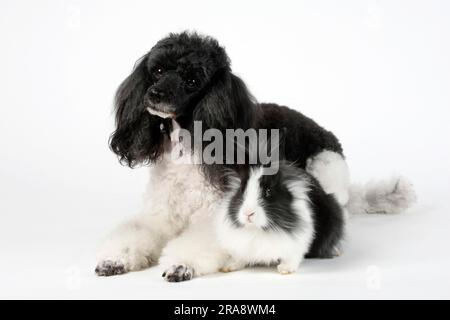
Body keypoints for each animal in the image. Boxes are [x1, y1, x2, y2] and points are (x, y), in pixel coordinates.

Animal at [214, 162, 344, 276]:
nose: (248, 213)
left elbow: (293, 256)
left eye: (268, 192)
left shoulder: (298, 243)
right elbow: (240, 257)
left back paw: (337, 251)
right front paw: (228, 266)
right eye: (241, 191)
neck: (258, 230)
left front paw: (285, 269)